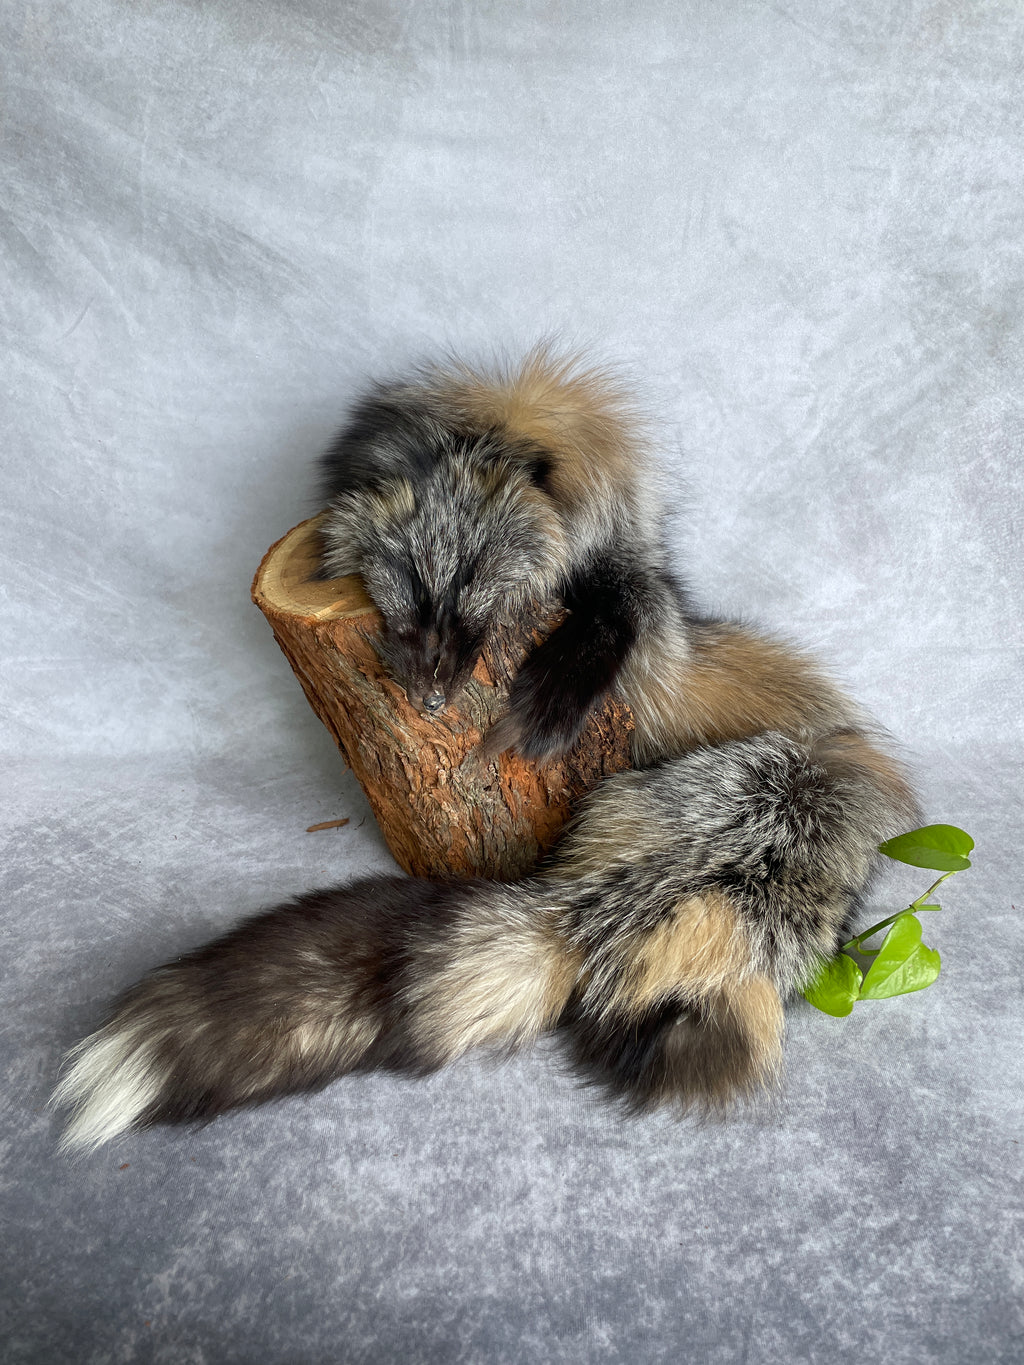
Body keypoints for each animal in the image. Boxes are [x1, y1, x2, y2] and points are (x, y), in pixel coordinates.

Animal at [52, 349, 918, 1151]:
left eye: (474, 575)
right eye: (405, 579)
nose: (433, 695)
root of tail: (591, 909)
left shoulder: (630, 583)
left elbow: (612, 618)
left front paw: (555, 690)